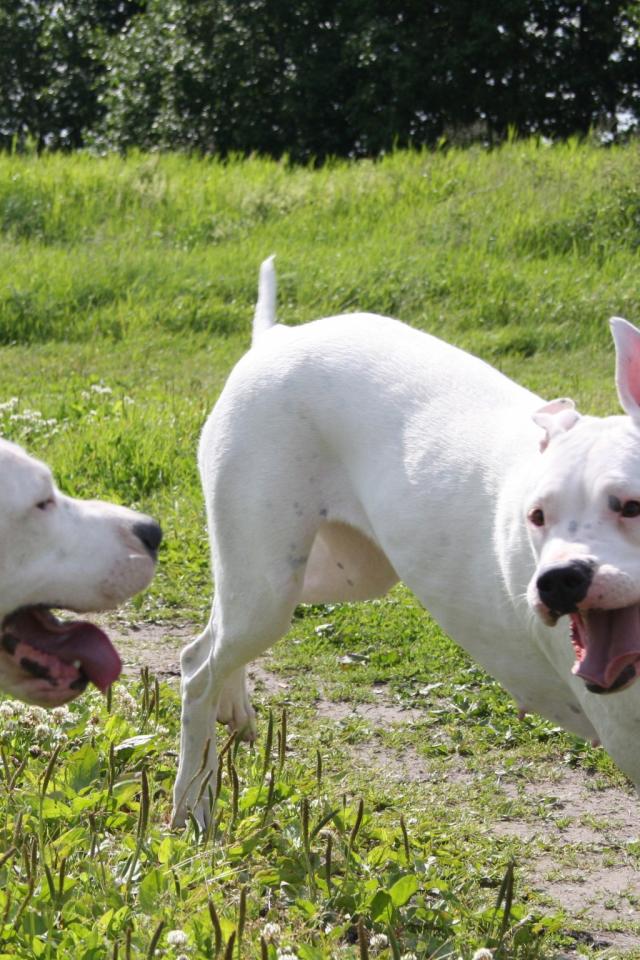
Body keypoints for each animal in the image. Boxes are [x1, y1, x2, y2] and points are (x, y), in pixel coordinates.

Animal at [172, 256, 640, 826]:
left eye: (630, 505)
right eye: (537, 516)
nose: (557, 582)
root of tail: (276, 338)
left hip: (329, 573)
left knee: (217, 623)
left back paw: (232, 704)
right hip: (270, 584)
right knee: (200, 667)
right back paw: (192, 803)